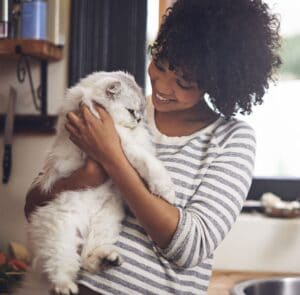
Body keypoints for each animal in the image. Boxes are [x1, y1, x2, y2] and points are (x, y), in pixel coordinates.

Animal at [16, 71, 175, 295]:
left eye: (140, 112)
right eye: (131, 110)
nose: (138, 119)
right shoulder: (122, 144)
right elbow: (150, 165)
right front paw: (166, 190)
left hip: (106, 221)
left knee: (86, 259)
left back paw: (108, 259)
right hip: (60, 231)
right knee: (61, 266)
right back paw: (65, 287)